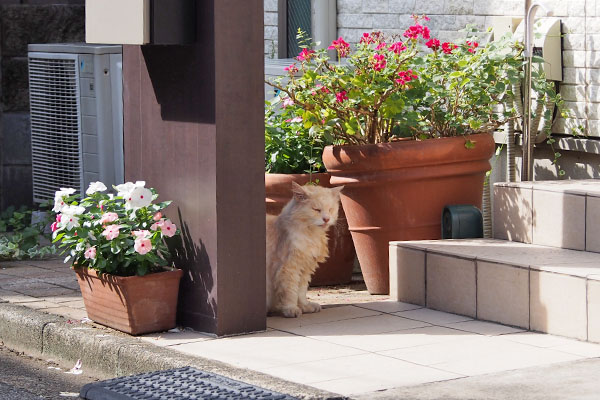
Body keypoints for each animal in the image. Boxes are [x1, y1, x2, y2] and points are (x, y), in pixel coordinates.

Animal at [266, 182, 344, 318]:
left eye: (330, 209)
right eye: (317, 210)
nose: (326, 219)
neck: (311, 235)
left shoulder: (305, 269)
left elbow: (301, 292)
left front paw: (305, 307)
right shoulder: (289, 268)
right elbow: (291, 293)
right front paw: (292, 309)